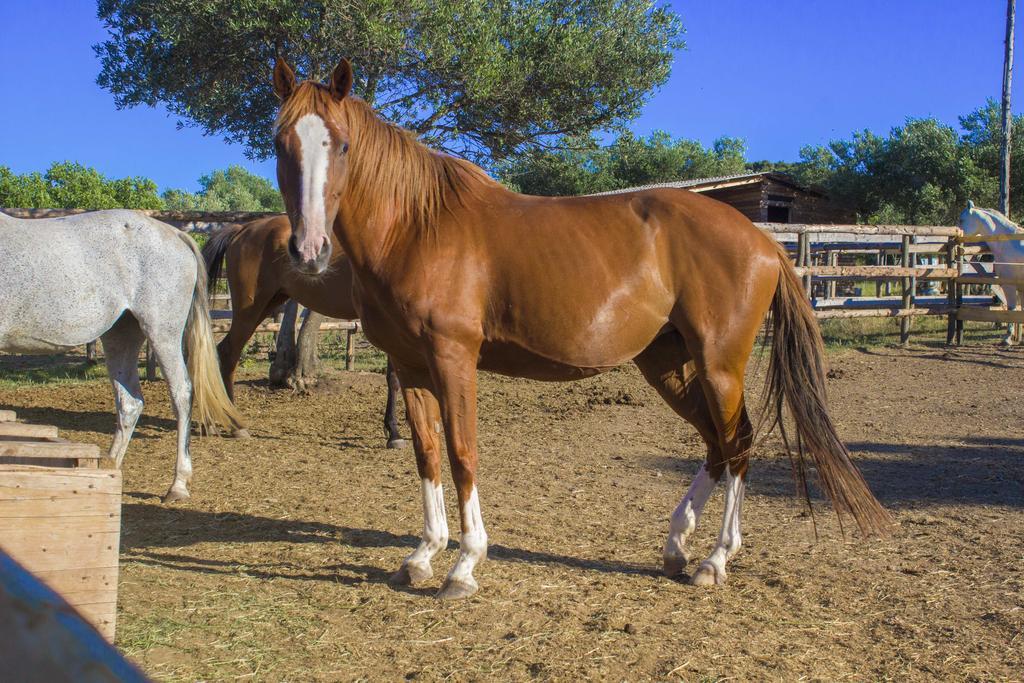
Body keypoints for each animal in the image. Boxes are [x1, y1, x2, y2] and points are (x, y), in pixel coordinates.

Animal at [0, 208, 241, 501]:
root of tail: (175, 234)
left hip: (162, 332)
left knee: (182, 393)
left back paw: (178, 485)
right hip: (120, 335)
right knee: (130, 402)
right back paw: (109, 470)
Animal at [201, 215, 405, 448]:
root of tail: (244, 229)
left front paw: (394, 431)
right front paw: (395, 433)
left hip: (268, 304)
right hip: (249, 309)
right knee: (228, 354)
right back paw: (235, 425)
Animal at [268, 61, 892, 602]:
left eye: (342, 144)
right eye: (281, 144)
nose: (308, 250)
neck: (417, 226)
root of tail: (762, 240)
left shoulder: (453, 359)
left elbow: (462, 451)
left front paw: (465, 564)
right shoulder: (410, 364)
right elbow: (426, 453)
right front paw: (423, 554)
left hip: (719, 365)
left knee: (737, 443)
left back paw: (715, 560)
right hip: (667, 364)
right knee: (717, 444)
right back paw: (676, 546)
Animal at [958, 200, 1024, 344]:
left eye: (962, 220)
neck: (1008, 243)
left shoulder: (1009, 285)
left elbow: (1011, 309)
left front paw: (1007, 338)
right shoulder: (1020, 287)